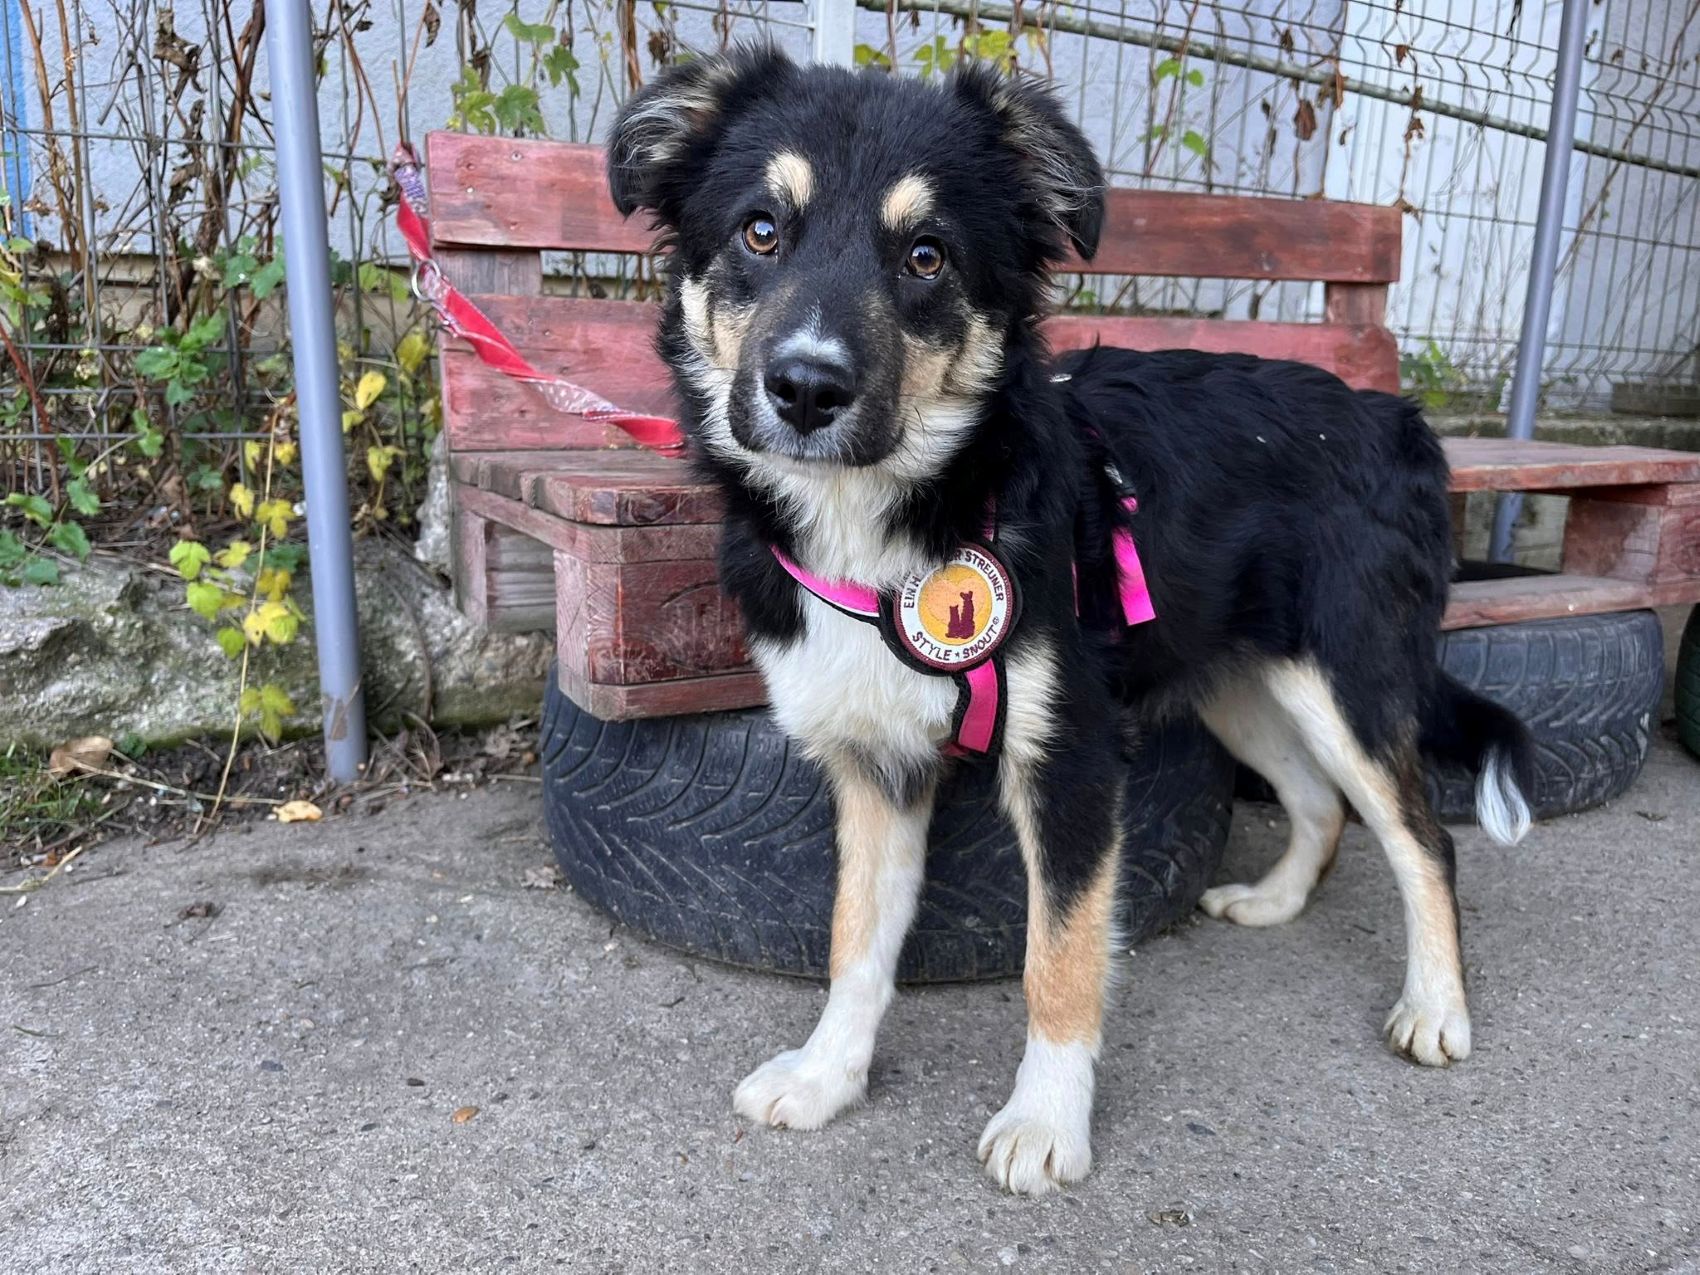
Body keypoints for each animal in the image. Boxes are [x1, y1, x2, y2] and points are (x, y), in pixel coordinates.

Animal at [606, 46, 1535, 1195]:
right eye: (761, 231)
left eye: (926, 256)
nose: (806, 388)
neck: (902, 519)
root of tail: (1390, 414)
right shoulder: (874, 763)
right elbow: (854, 940)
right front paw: (828, 1075)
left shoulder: (1072, 758)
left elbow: (1058, 956)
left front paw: (1046, 1120)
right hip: (1239, 679)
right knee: (1319, 802)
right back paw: (1273, 902)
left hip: (1348, 677)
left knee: (1420, 839)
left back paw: (1436, 1008)